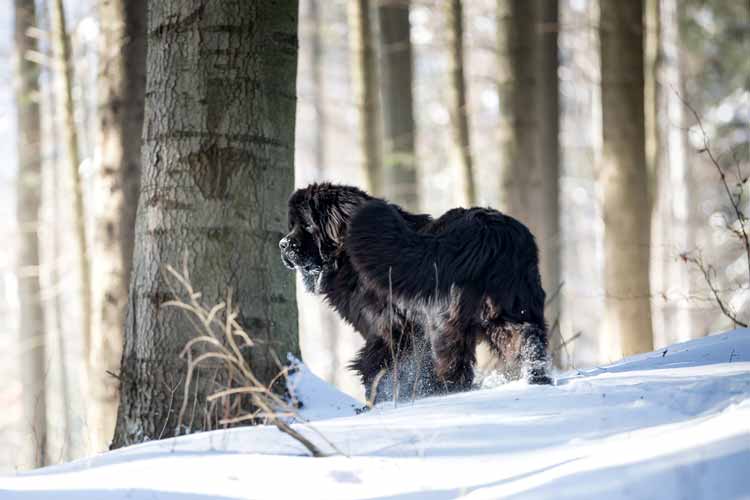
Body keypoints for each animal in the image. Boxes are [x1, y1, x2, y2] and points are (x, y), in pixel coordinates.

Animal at [282, 184, 552, 402]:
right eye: (291, 226)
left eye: (306, 225)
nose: (282, 244)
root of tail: (486, 229)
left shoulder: (389, 330)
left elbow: (375, 366)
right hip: (512, 306)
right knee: (527, 337)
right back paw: (537, 378)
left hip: (445, 323)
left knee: (454, 364)